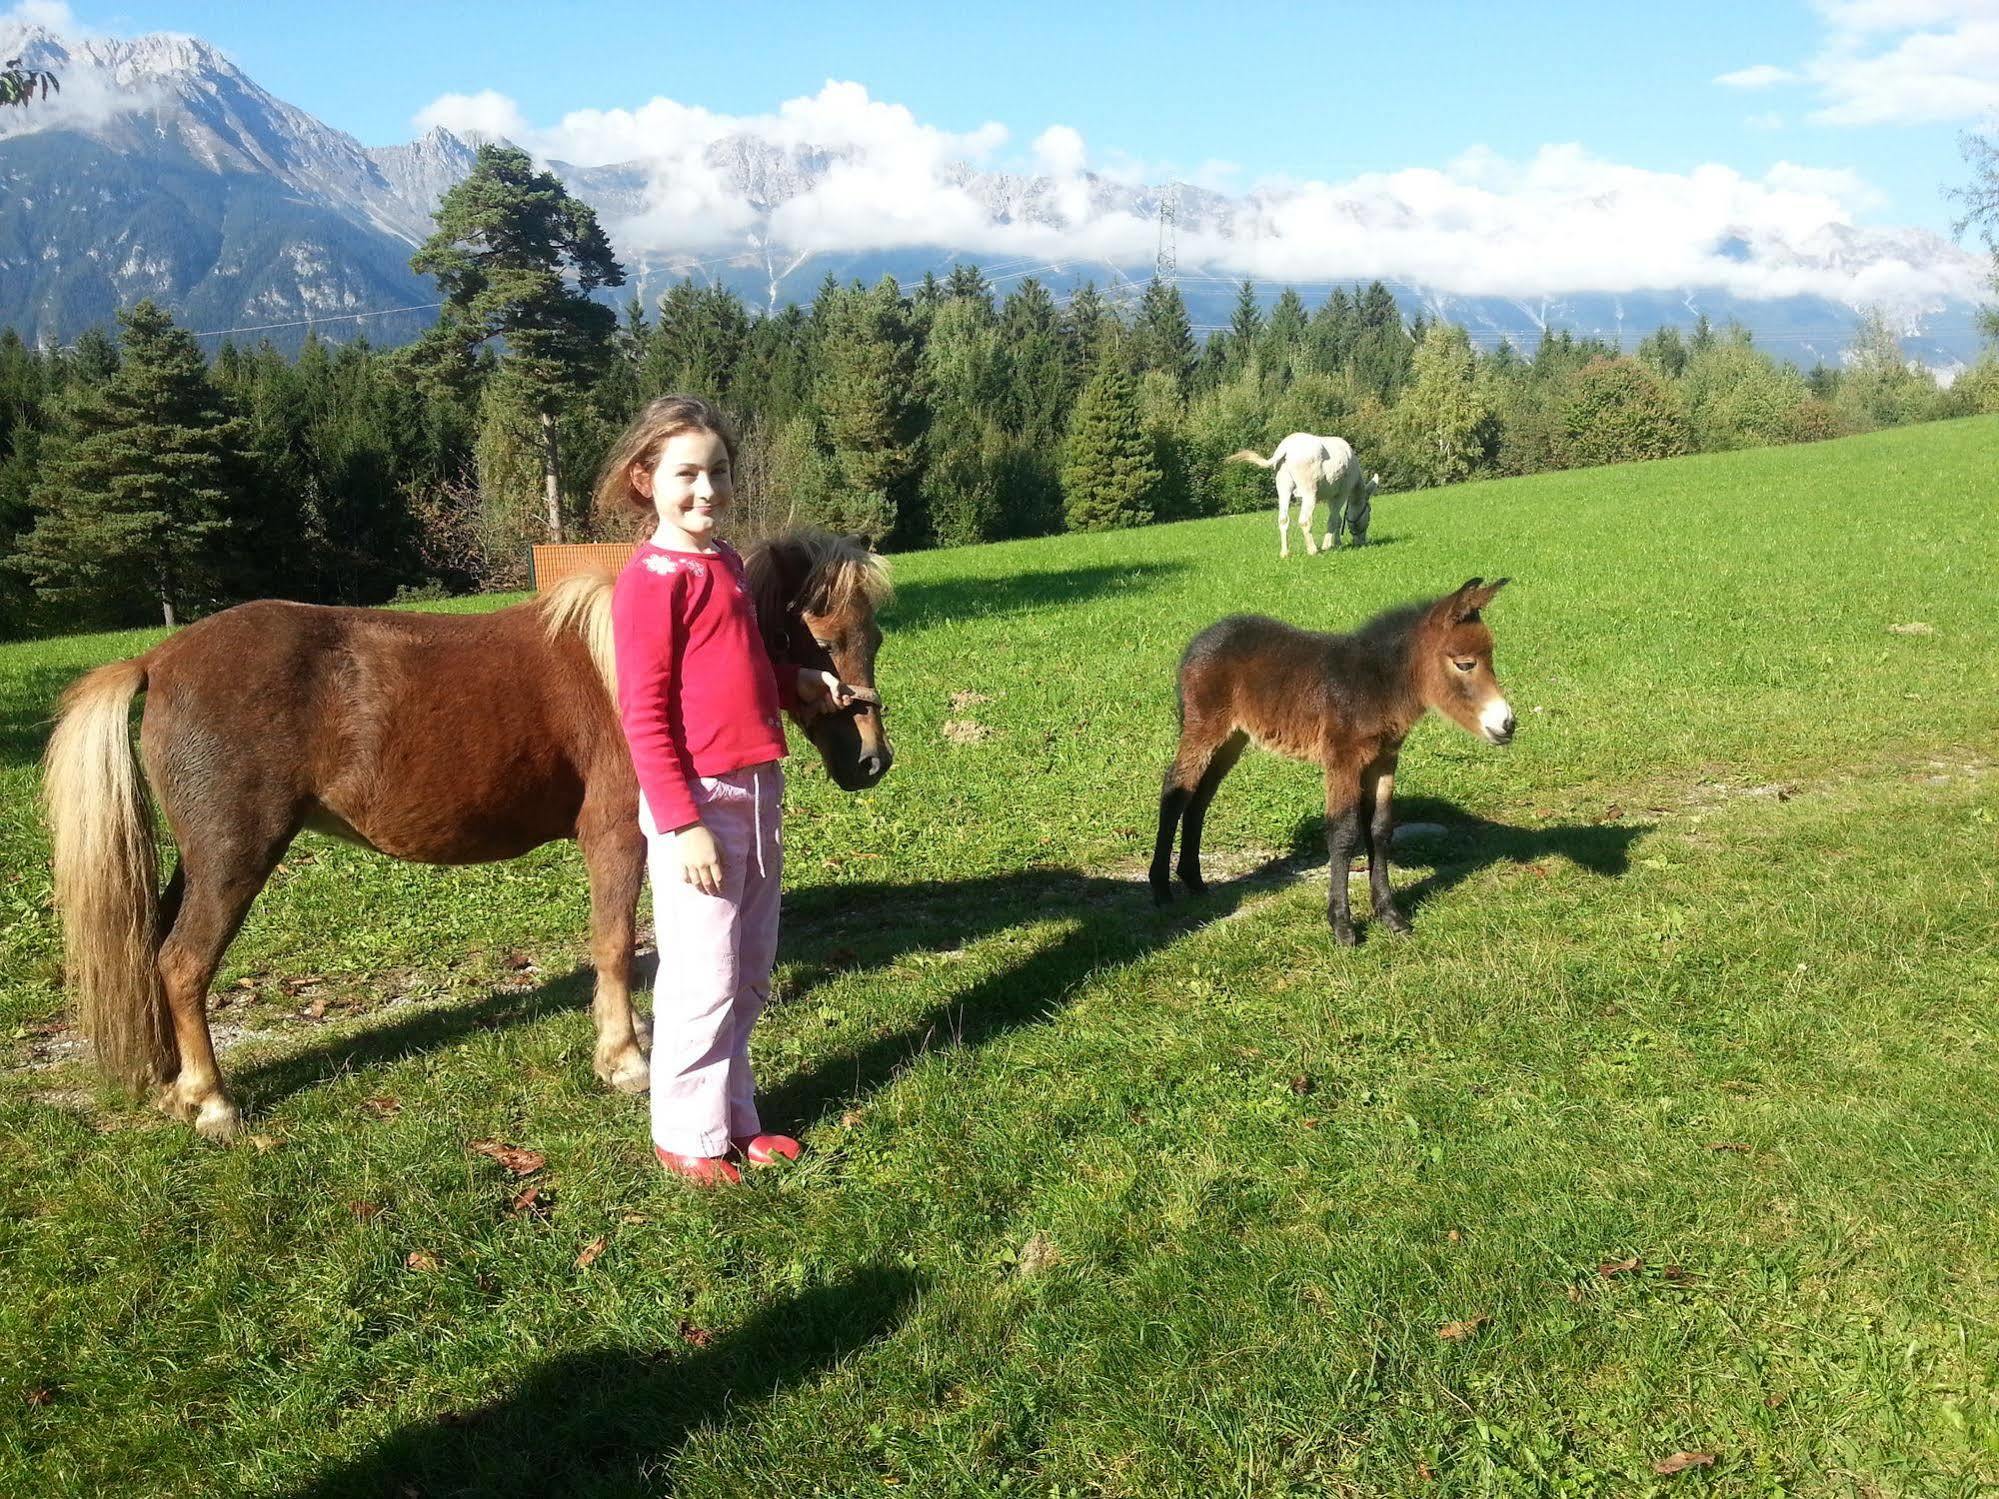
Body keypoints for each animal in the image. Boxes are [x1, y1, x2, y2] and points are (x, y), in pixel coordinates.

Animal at [42, 531, 891, 1135]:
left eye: (872, 638)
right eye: (814, 635)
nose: (871, 759)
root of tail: (158, 657)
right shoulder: (616, 833)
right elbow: (615, 944)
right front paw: (622, 1058)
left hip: (196, 862)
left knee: (154, 950)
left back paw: (177, 1086)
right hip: (232, 860)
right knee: (183, 964)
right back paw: (213, 1102)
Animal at [1159, 579, 1511, 943]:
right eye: (1465, 664)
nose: (1507, 724)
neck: (1377, 686)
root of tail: (1201, 638)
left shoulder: (1384, 761)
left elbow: (1380, 830)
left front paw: (1390, 916)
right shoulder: (1343, 762)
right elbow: (1343, 834)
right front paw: (1342, 925)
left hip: (1233, 738)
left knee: (1200, 796)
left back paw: (1194, 881)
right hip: (1204, 729)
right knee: (1176, 789)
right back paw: (1161, 890)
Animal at [1223, 437, 1383, 559]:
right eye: (1369, 511)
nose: (1362, 542)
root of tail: (1285, 448)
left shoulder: (1331, 496)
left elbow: (1336, 519)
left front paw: (1335, 543)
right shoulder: (1341, 493)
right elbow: (1334, 520)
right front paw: (1329, 545)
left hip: (1283, 487)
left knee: (1283, 519)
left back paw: (1285, 553)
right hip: (1309, 490)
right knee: (1305, 520)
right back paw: (1313, 550)